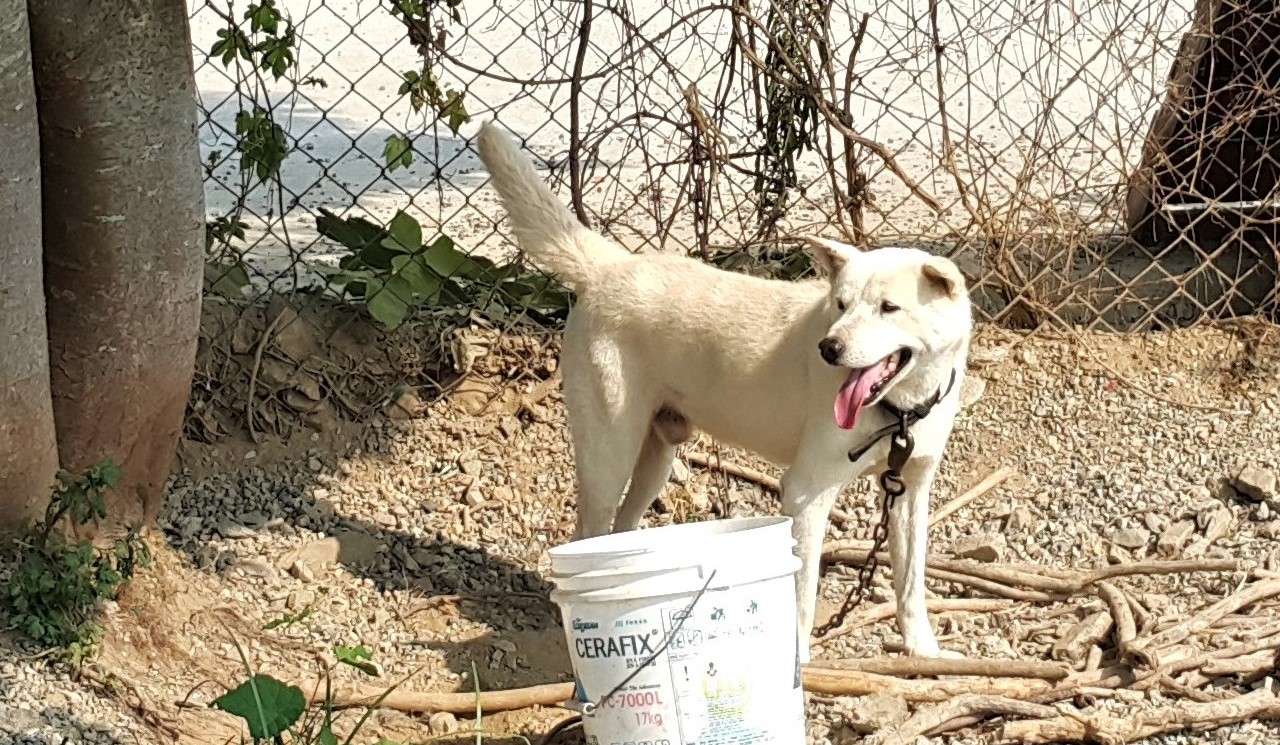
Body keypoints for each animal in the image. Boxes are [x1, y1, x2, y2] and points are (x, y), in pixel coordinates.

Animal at [476, 121, 972, 660]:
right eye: (840, 305)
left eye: (889, 308)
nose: (829, 348)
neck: (898, 409)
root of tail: (611, 267)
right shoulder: (806, 493)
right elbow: (801, 595)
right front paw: (798, 661)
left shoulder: (911, 492)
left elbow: (911, 583)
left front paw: (925, 653)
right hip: (608, 458)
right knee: (587, 532)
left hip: (656, 460)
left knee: (621, 534)